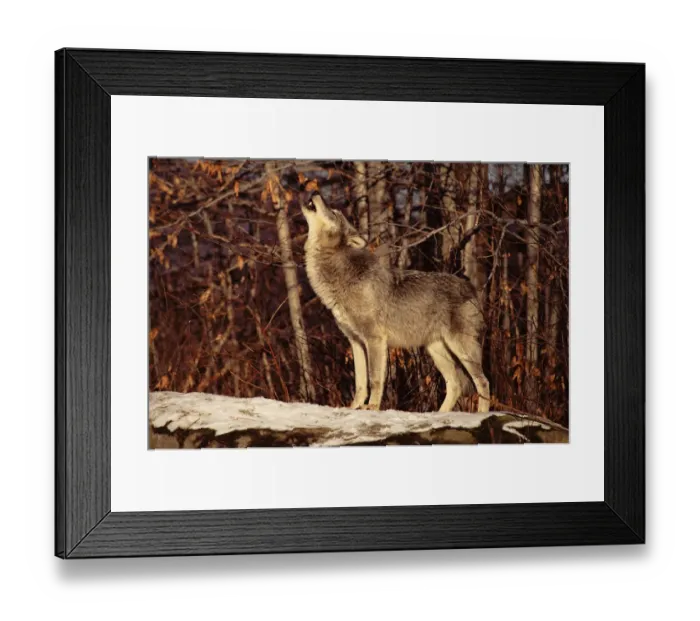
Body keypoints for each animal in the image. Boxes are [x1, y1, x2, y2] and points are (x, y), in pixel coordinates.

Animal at [301, 192, 490, 413]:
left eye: (333, 212)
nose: (315, 193)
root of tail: (472, 288)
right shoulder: (355, 341)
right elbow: (360, 383)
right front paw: (353, 407)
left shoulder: (374, 339)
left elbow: (374, 379)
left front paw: (372, 407)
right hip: (437, 350)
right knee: (456, 384)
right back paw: (438, 414)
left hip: (461, 349)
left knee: (482, 381)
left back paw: (480, 414)